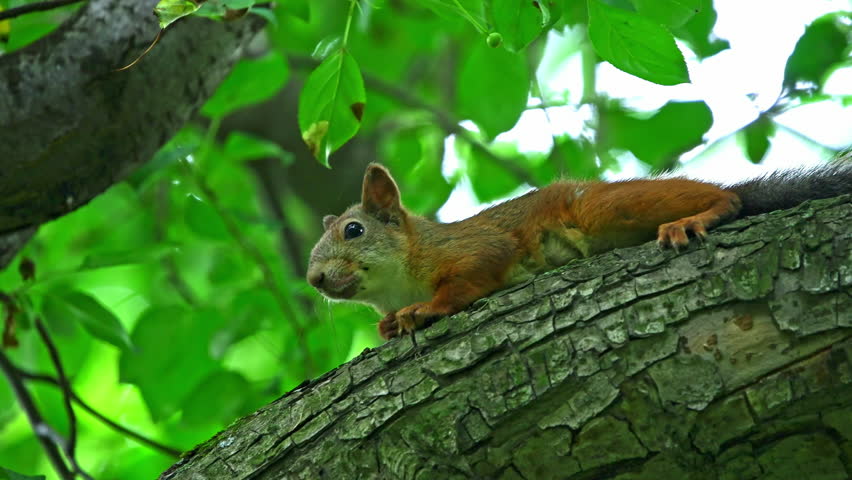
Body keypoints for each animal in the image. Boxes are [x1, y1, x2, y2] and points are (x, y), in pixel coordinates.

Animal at [307, 160, 852, 340]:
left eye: (353, 230)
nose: (314, 280)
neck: (400, 281)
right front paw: (389, 324)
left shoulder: (474, 248)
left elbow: (470, 278)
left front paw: (425, 310)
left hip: (605, 208)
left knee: (725, 198)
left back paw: (699, 215)